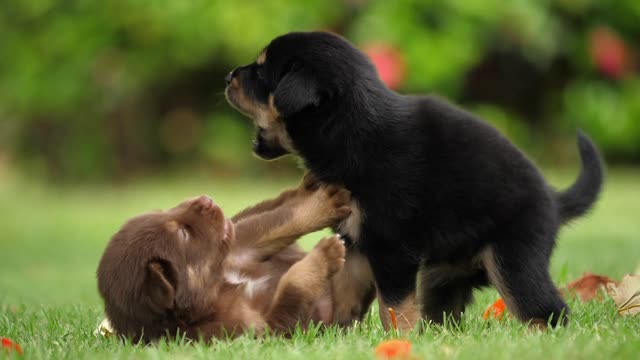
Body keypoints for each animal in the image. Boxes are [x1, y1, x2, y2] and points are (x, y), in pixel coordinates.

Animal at [95, 176, 368, 342]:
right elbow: (292, 288)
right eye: (183, 234)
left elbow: (277, 221)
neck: (217, 286)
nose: (205, 199)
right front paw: (325, 254)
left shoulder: (238, 250)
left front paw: (322, 205)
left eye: (164, 212)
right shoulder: (259, 331)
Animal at [225, 31, 604, 332]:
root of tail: (553, 200)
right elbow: (347, 295)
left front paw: (399, 338)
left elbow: (394, 306)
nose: (229, 75)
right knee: (444, 312)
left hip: (513, 260)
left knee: (546, 310)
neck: (351, 130)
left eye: (260, 71)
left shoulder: (393, 247)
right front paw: (338, 334)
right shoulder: (357, 240)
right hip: (444, 274)